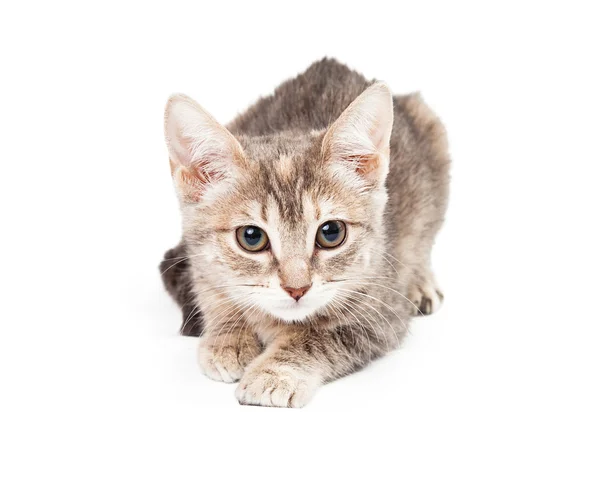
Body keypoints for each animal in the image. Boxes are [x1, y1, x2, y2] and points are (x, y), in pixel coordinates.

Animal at [159, 58, 450, 406]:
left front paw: (273, 373)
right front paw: (228, 335)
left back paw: (422, 281)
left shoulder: (382, 311)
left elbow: (317, 336)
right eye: (251, 237)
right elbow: (213, 291)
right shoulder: (199, 266)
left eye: (331, 233)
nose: (297, 289)